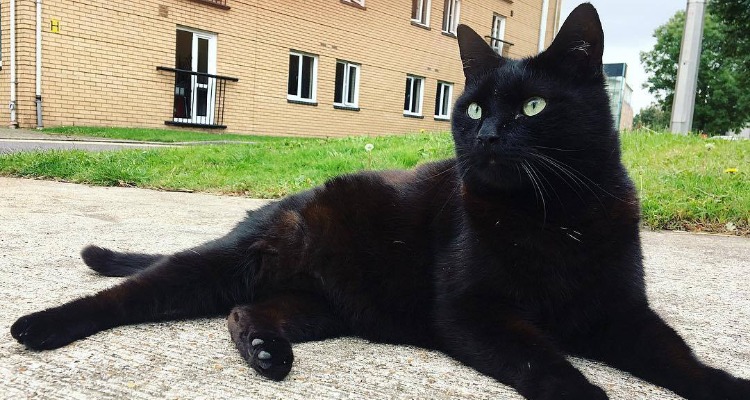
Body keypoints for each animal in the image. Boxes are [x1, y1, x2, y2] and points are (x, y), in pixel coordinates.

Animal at [8, 3, 748, 400]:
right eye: (472, 107)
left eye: (533, 107)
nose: (484, 135)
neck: (553, 216)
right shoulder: (473, 313)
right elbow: (546, 360)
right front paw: (586, 391)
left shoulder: (620, 310)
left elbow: (676, 356)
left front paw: (726, 386)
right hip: (227, 265)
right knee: (130, 294)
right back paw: (40, 325)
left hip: (320, 305)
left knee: (248, 311)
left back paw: (266, 352)